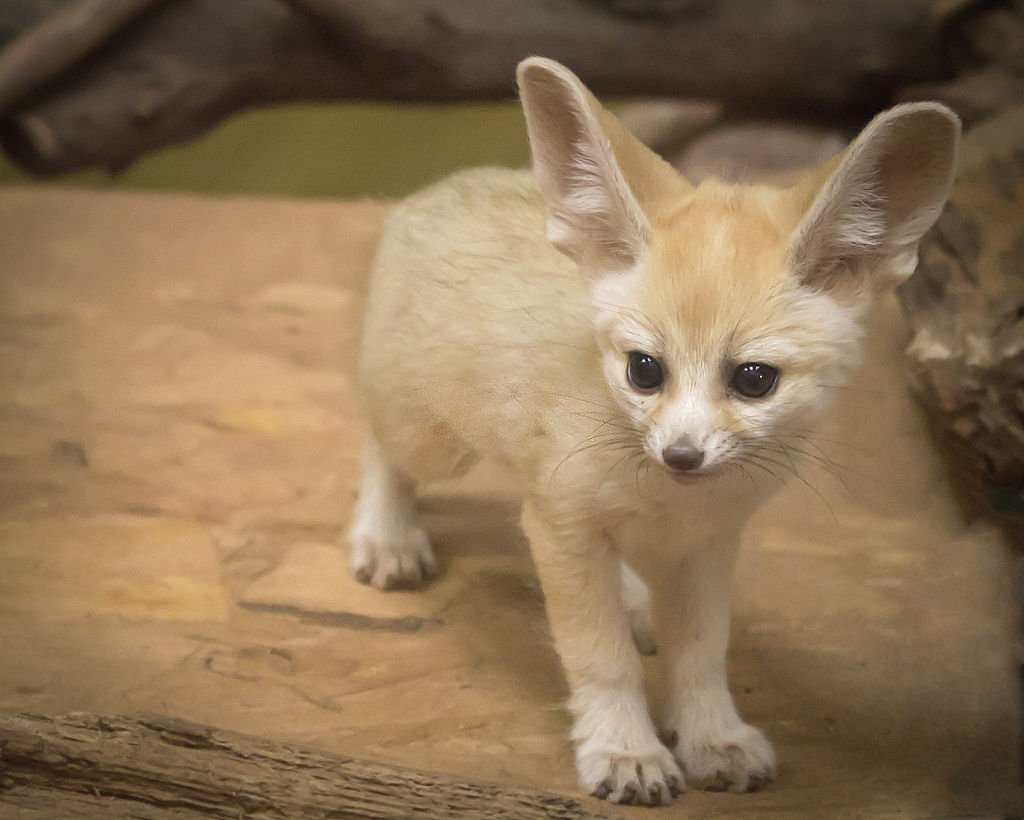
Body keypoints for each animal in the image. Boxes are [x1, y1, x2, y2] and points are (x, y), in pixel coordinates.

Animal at [347, 57, 959, 804]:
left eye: (754, 380)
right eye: (644, 370)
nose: (681, 454)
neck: (671, 499)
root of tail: (439, 186)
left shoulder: (708, 542)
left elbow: (702, 654)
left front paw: (713, 736)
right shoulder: (561, 526)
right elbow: (600, 656)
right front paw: (624, 749)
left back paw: (635, 598)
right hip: (431, 438)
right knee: (377, 440)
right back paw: (386, 534)